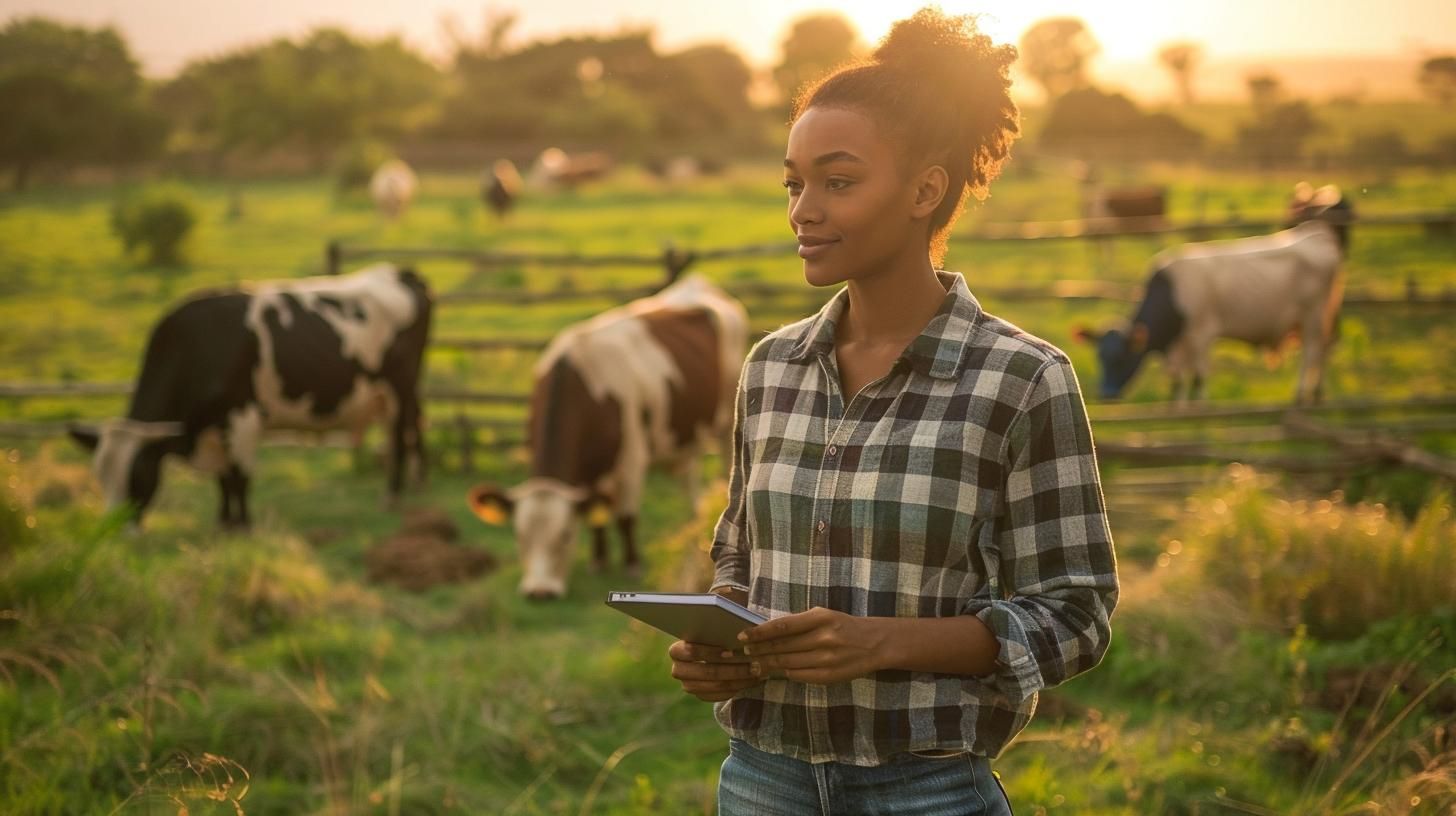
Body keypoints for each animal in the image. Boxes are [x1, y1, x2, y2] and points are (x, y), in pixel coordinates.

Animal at [70, 262, 430, 530]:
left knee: (400, 436)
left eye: (139, 475)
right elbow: (223, 480)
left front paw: (242, 526)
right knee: (410, 428)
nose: (114, 531)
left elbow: (238, 478)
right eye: (100, 475)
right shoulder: (213, 431)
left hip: (399, 387)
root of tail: (398, 272)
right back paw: (412, 484)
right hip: (392, 394)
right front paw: (224, 523)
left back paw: (392, 496)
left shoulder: (242, 419)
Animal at [468, 275, 751, 600]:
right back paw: (693, 521)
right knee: (688, 473)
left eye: (565, 535)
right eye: (519, 535)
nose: (540, 592)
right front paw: (598, 560)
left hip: (725, 426)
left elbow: (625, 517)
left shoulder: (631, 459)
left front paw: (632, 564)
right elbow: (597, 517)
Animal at [1077, 182, 1345, 405]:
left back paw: (1301, 394)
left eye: (1121, 358)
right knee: (1322, 349)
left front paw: (1199, 410)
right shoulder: (1178, 345)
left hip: (1314, 315)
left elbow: (1198, 378)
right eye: (1100, 357)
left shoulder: (1202, 334)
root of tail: (1318, 234)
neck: (1172, 295)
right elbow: (1177, 381)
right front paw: (1178, 408)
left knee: (1312, 351)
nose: (1106, 395)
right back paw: (1316, 393)